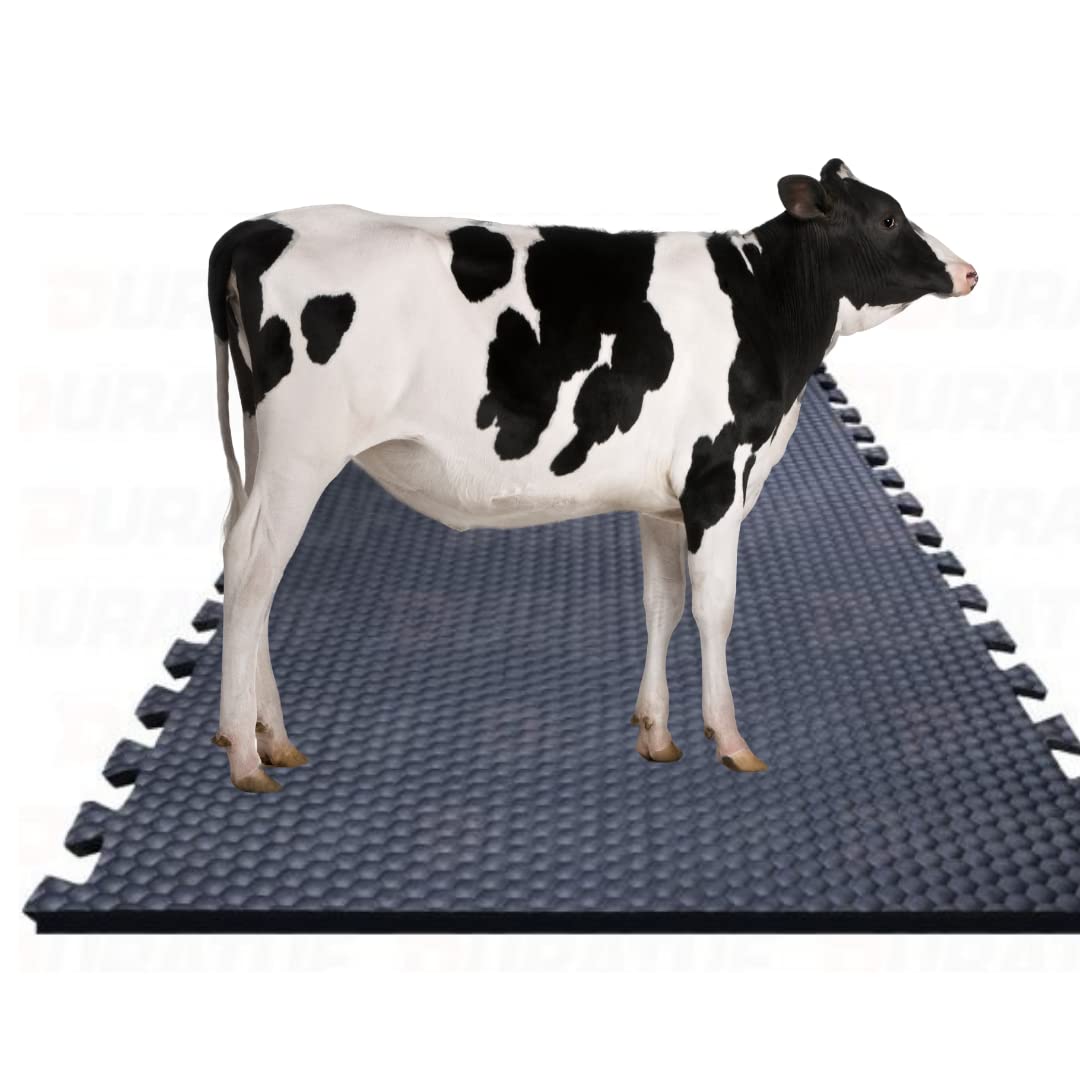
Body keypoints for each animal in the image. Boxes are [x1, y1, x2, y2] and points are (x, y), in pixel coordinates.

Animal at [207, 158, 977, 793]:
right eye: (888, 217)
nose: (968, 271)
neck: (765, 305)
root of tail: (258, 226)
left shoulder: (665, 500)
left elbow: (662, 604)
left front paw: (658, 735)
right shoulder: (716, 478)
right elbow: (716, 609)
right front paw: (730, 741)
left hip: (265, 448)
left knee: (246, 564)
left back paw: (270, 739)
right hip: (301, 454)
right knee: (252, 572)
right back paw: (247, 756)